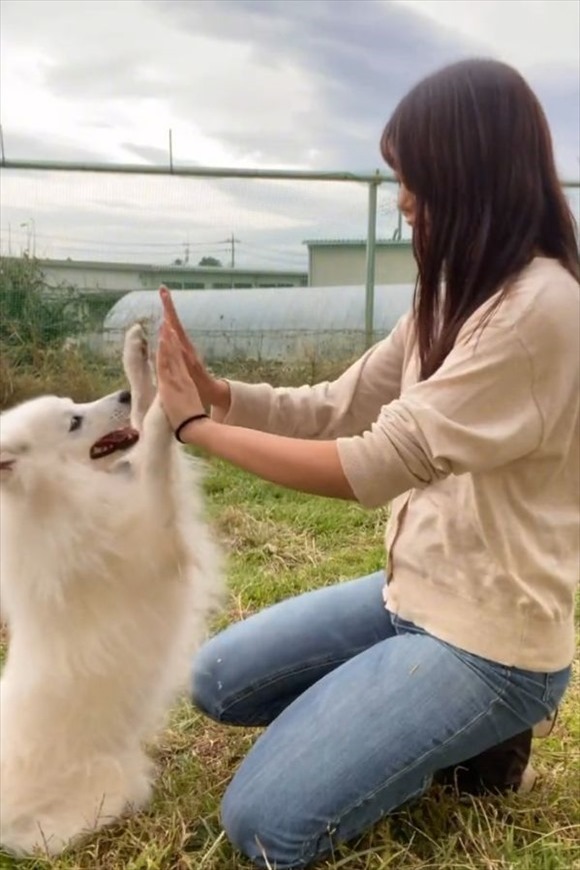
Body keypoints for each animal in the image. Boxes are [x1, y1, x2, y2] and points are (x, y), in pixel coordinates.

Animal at [0, 326, 224, 860]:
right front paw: (168, 392)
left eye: (72, 406)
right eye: (74, 421)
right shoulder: (154, 529)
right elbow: (156, 441)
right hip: (112, 786)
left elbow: (145, 432)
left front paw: (140, 361)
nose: (118, 395)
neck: (55, 495)